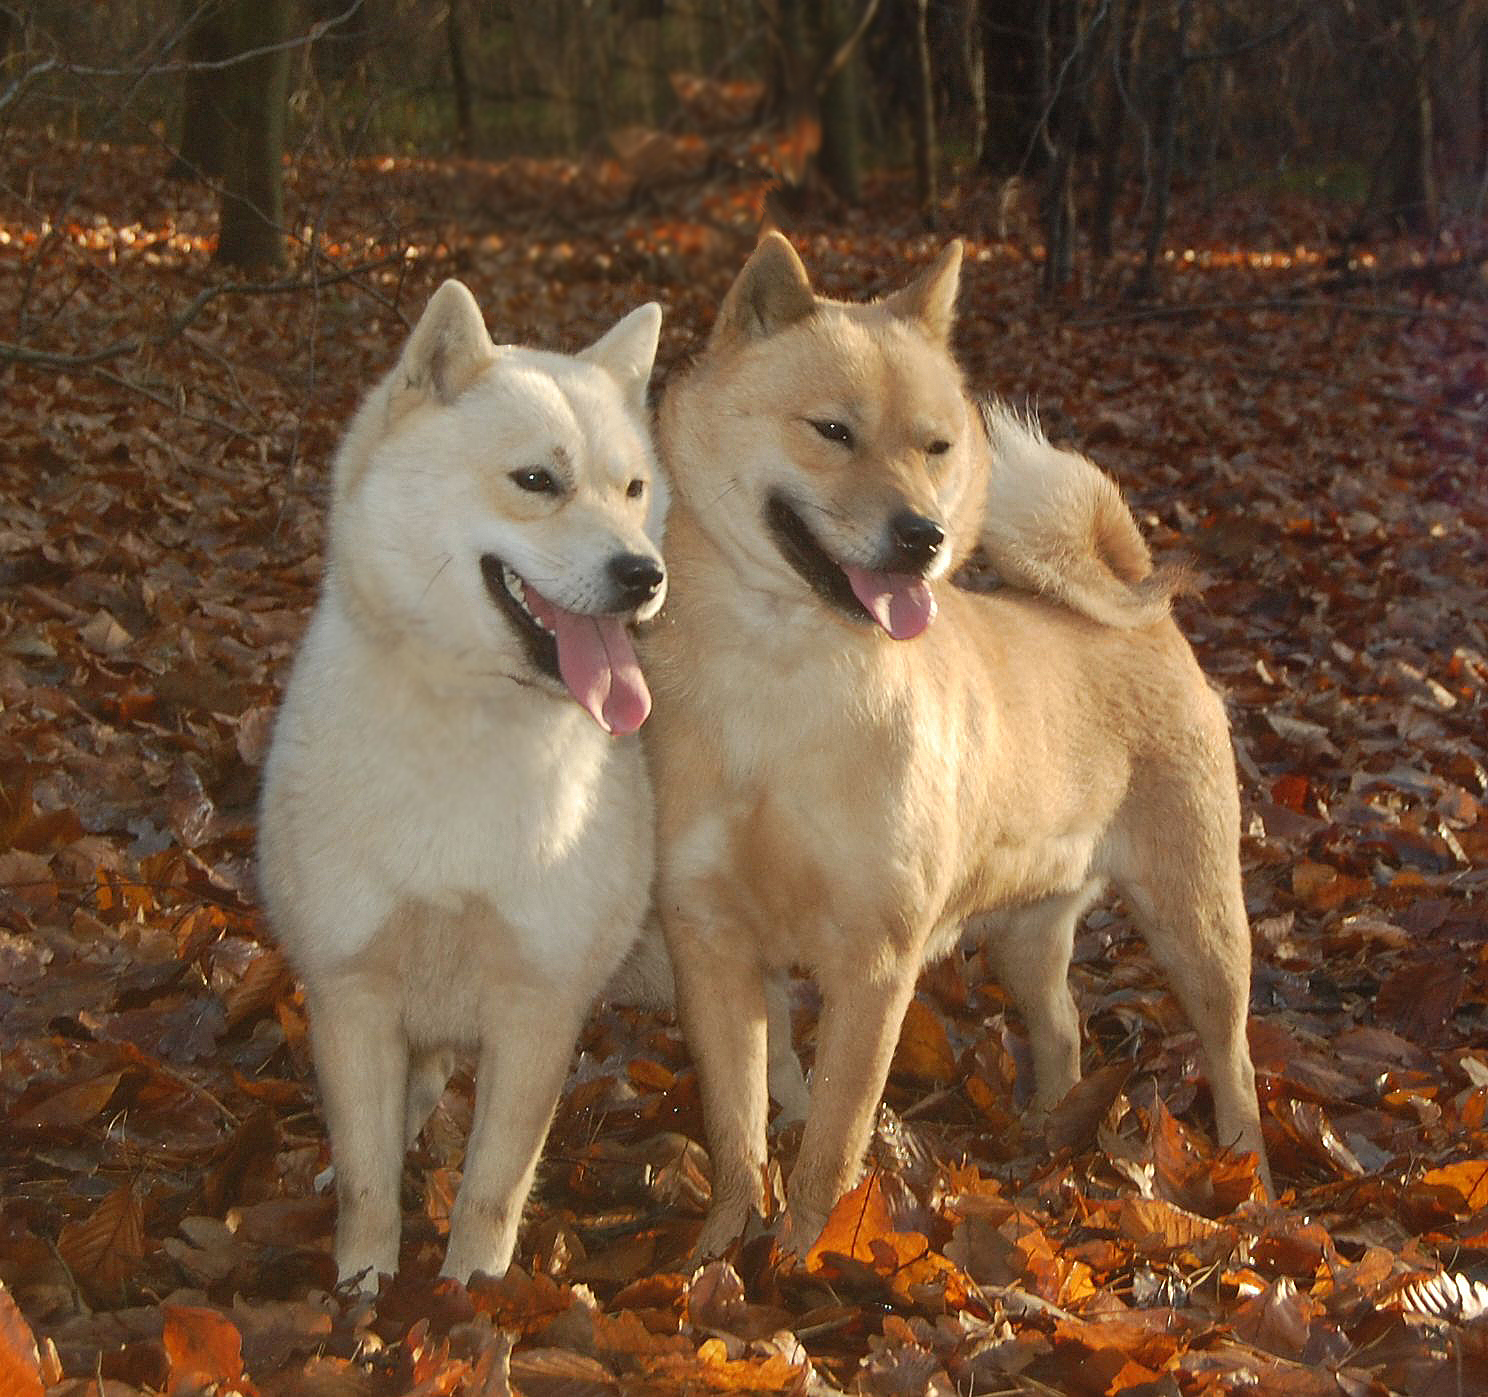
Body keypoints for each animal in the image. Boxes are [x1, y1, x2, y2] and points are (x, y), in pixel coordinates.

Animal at [645, 232, 1273, 1255]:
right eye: (832, 431)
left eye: (936, 446)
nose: (924, 536)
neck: (785, 679)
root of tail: (1146, 618)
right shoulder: (713, 947)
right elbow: (738, 1135)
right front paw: (716, 1262)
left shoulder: (873, 962)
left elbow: (831, 1141)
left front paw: (804, 1258)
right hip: (1026, 934)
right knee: (1063, 1030)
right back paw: (1047, 1137)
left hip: (1196, 924)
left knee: (1233, 1053)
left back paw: (1248, 1175)